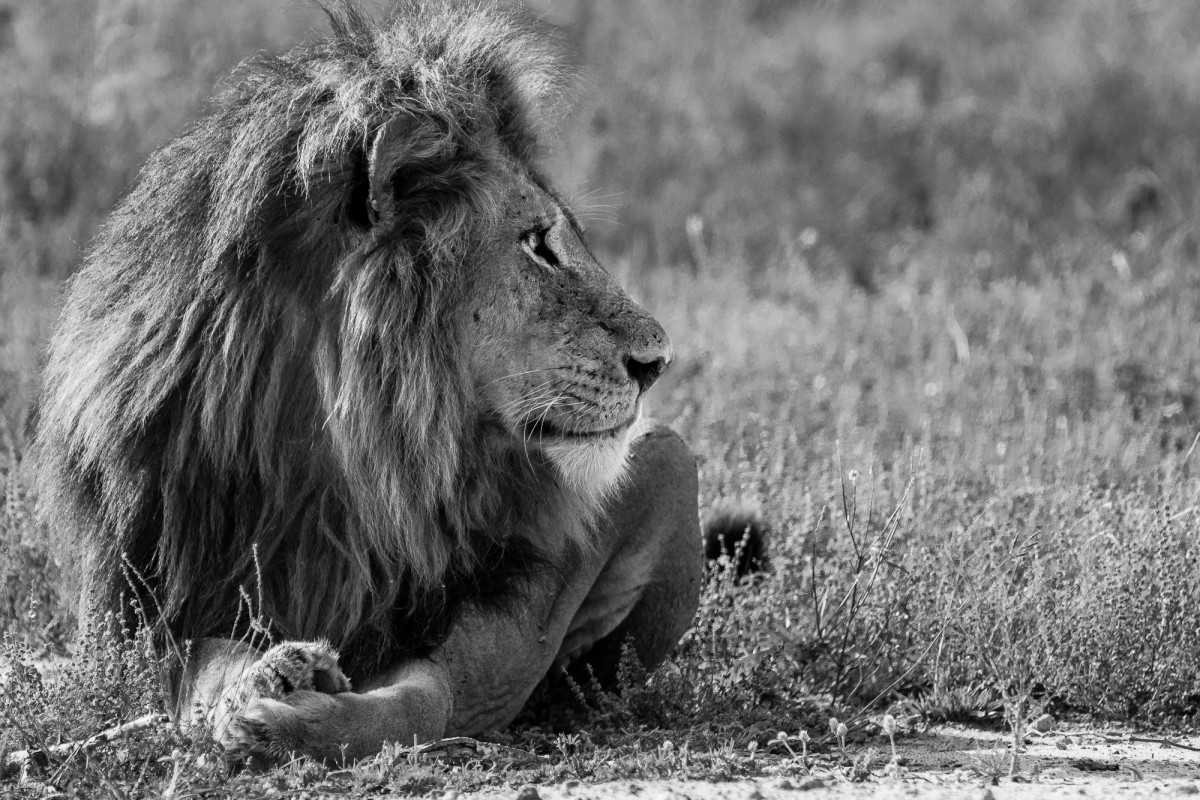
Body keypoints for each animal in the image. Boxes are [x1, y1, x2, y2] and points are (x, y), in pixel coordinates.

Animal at [32, 1, 734, 762]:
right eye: (538, 245)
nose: (658, 361)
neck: (345, 461)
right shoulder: (154, 610)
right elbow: (201, 666)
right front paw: (262, 682)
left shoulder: (463, 636)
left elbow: (417, 704)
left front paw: (298, 723)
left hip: (667, 459)